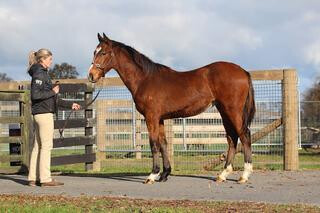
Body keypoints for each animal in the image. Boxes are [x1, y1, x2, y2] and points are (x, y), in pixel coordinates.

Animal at [89, 32, 256, 184]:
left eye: (103, 52)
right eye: (94, 52)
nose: (91, 75)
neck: (145, 79)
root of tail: (243, 71)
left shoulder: (151, 117)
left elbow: (154, 144)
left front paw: (152, 175)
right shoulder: (160, 119)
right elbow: (163, 144)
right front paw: (164, 174)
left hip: (233, 111)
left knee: (244, 135)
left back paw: (244, 175)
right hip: (224, 112)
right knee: (232, 138)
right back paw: (223, 174)